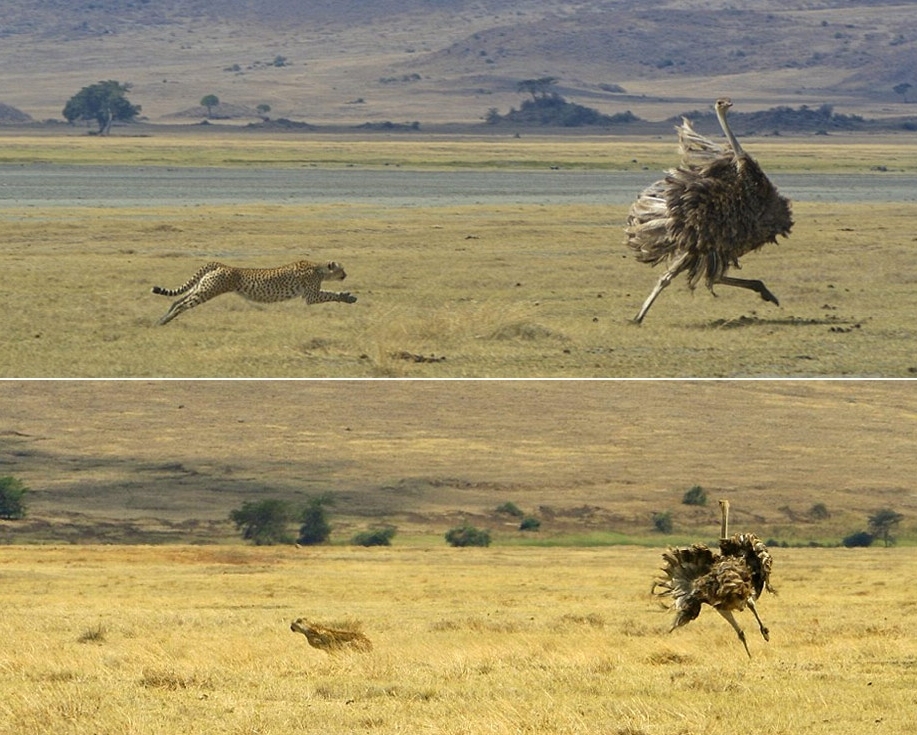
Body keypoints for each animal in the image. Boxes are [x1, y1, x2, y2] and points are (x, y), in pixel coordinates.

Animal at [150, 260, 354, 326]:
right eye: (341, 269)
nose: (346, 275)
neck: (320, 269)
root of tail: (220, 264)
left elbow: (329, 292)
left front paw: (347, 296)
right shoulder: (311, 296)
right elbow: (329, 293)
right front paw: (348, 297)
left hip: (201, 286)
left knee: (177, 301)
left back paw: (162, 318)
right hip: (208, 291)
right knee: (183, 304)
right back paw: (164, 321)